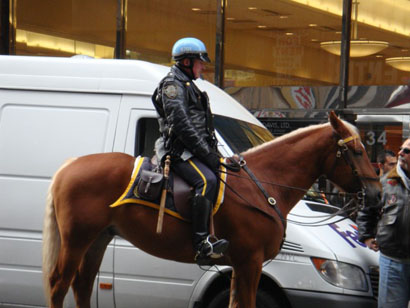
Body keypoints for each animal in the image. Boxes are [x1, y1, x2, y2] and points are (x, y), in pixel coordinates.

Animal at [41, 111, 382, 308]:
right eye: (356, 151)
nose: (377, 193)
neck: (263, 185)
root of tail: (69, 165)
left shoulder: (240, 266)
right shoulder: (250, 263)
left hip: (97, 239)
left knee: (82, 286)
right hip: (77, 239)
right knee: (58, 285)